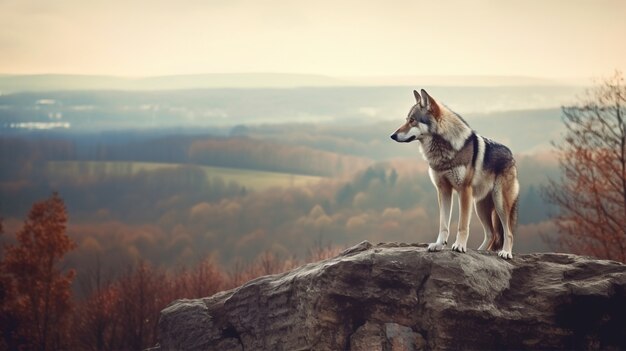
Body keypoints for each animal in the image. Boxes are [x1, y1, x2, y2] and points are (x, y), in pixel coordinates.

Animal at [390, 88, 516, 258]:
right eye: (407, 120)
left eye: (412, 120)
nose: (392, 135)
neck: (442, 151)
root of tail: (511, 154)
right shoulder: (443, 190)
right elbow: (443, 224)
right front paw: (438, 245)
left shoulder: (464, 191)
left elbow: (462, 225)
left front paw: (460, 246)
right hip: (480, 206)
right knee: (492, 234)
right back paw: (479, 251)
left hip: (499, 203)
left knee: (508, 232)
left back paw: (506, 253)